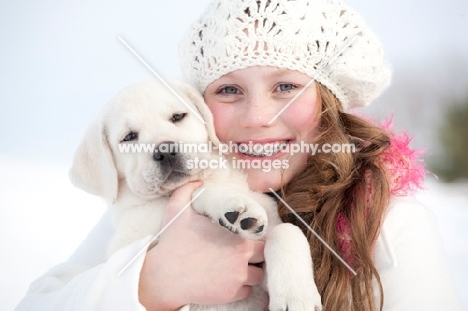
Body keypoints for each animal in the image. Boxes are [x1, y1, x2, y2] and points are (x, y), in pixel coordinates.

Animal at [68, 79, 322, 310]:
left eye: (178, 116)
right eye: (129, 137)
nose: (165, 151)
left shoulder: (257, 279)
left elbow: (286, 230)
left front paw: (296, 295)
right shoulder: (132, 247)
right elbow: (201, 191)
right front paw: (233, 207)